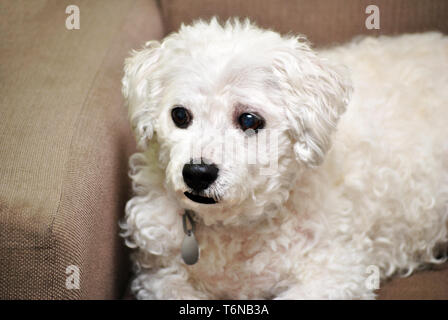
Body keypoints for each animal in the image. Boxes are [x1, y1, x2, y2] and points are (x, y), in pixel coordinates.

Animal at [121, 17, 448, 298]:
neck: (236, 226)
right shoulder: (158, 277)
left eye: (249, 120)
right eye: (179, 115)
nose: (197, 173)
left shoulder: (337, 273)